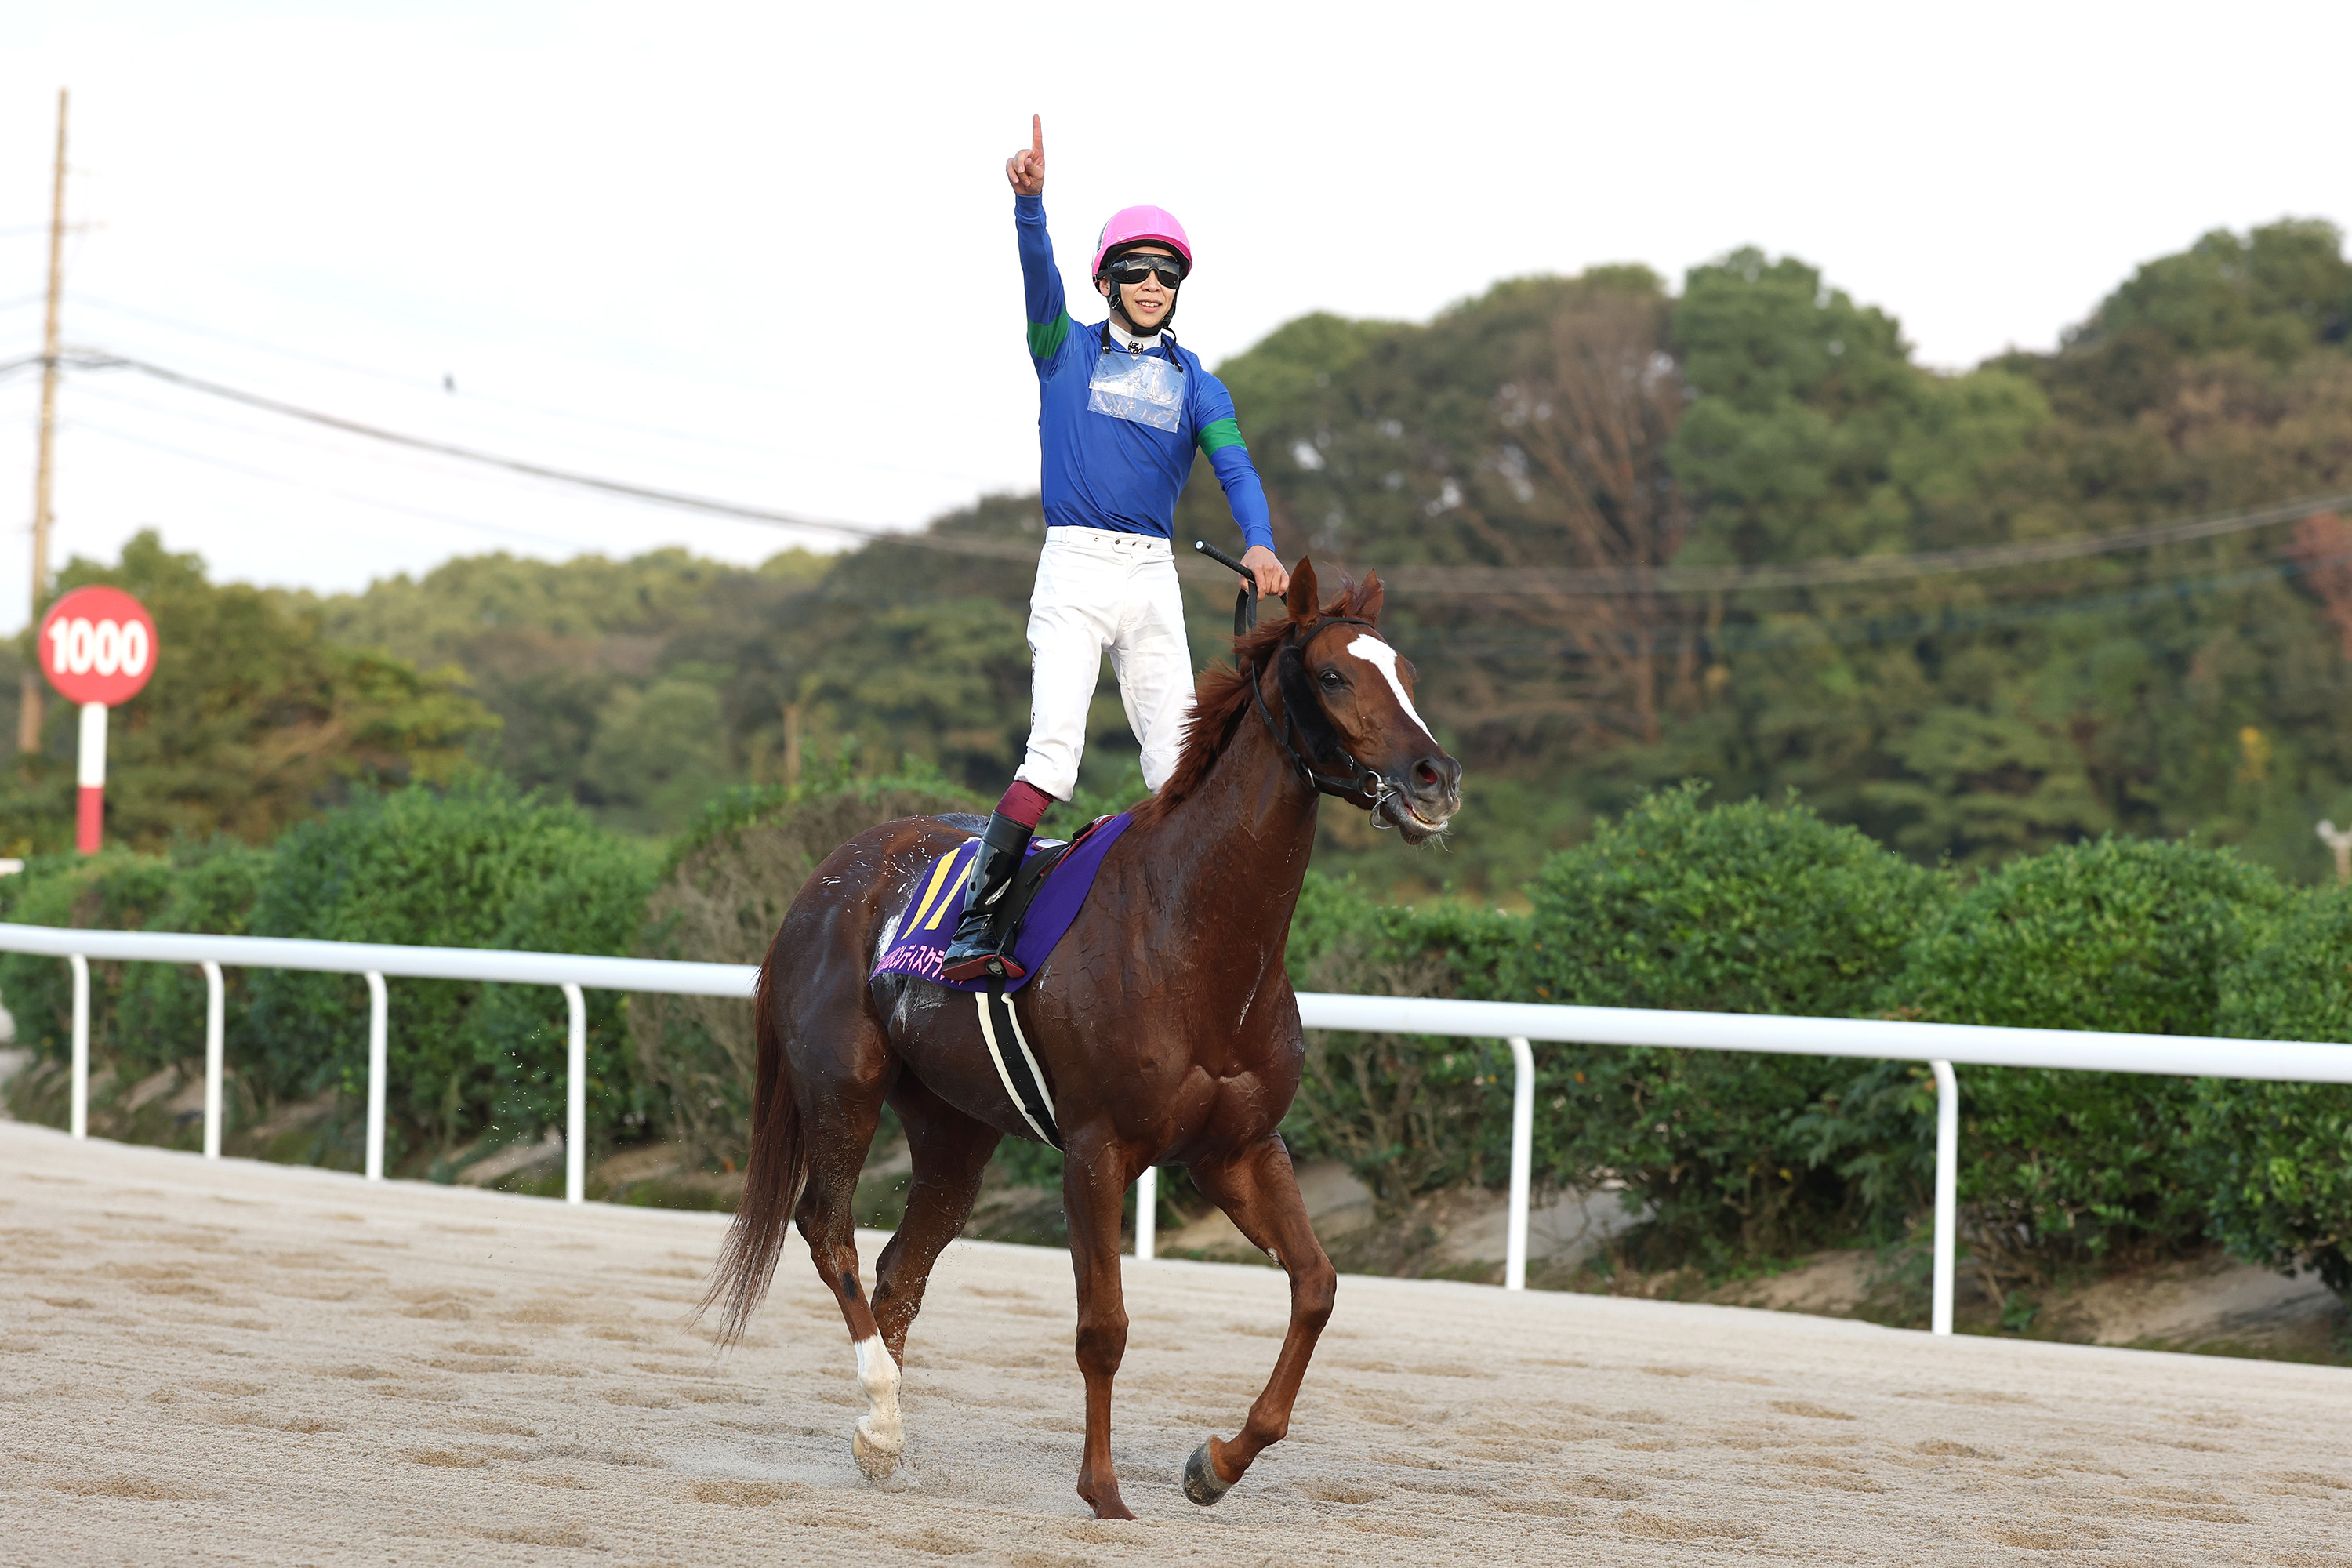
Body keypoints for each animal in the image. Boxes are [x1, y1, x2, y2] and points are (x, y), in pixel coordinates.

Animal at [701, 564, 1449, 1523]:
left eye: (1407, 672)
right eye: (1332, 676)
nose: (1435, 776)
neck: (1193, 930)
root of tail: (830, 874)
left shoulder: (1239, 1148)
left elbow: (1316, 1287)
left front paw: (1217, 1461)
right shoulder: (1098, 1149)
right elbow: (1104, 1326)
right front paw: (1104, 1489)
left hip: (954, 1127)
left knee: (904, 1267)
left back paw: (884, 1439)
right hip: (844, 1087)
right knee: (828, 1231)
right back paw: (880, 1412)